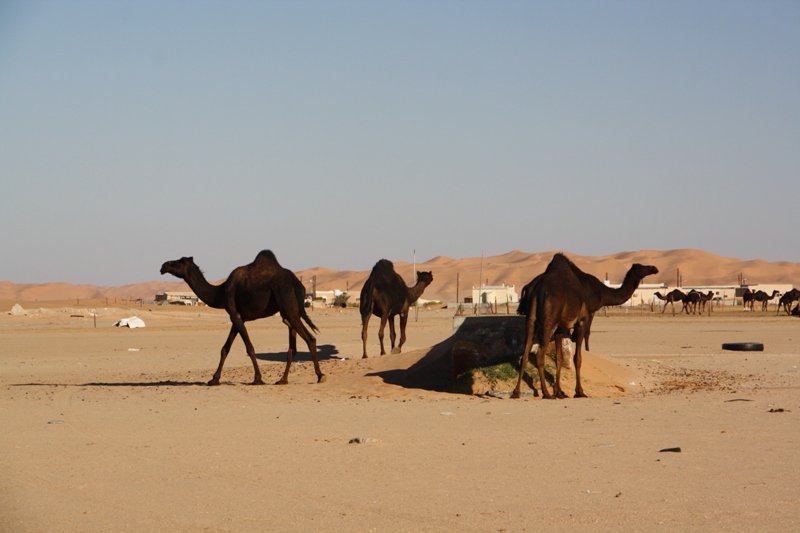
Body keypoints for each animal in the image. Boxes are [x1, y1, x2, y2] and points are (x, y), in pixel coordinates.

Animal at [159, 251, 324, 384]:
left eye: (178, 261)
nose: (163, 266)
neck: (220, 292)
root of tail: (298, 284)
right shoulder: (238, 317)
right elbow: (225, 348)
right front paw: (214, 379)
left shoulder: (235, 315)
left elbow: (249, 348)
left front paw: (258, 379)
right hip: (290, 312)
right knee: (292, 346)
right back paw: (283, 380)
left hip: (288, 306)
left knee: (310, 339)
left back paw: (320, 376)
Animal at [510, 254, 592, 400]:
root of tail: (538, 288)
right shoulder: (581, 322)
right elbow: (577, 358)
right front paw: (579, 392)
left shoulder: (559, 329)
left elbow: (559, 358)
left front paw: (559, 392)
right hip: (549, 320)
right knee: (539, 355)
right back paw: (546, 393)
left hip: (531, 319)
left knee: (525, 355)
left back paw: (516, 392)